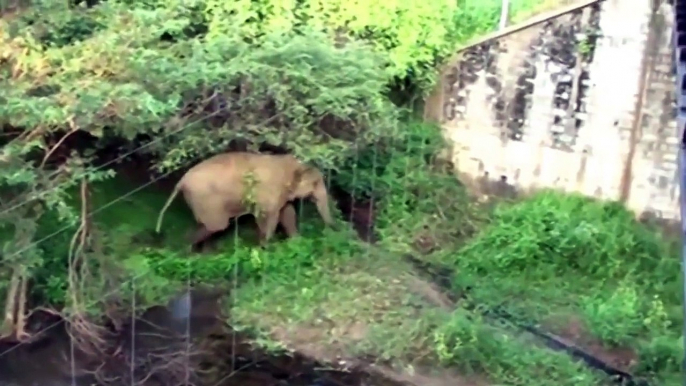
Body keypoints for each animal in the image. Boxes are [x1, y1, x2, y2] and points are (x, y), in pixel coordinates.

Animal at [156, 151, 334, 247]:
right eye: (316, 182)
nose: (330, 229)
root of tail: (181, 181)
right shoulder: (267, 192)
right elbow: (269, 218)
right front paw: (266, 247)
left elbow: (287, 213)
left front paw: (296, 242)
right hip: (206, 201)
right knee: (217, 226)